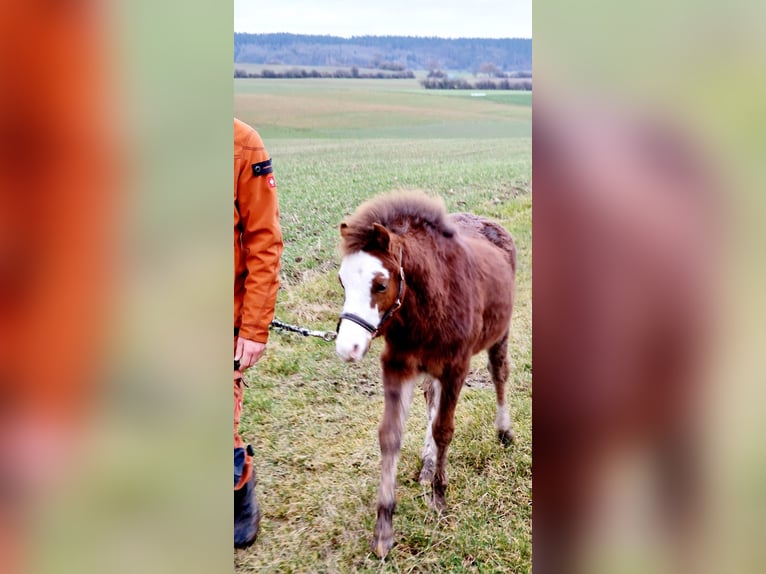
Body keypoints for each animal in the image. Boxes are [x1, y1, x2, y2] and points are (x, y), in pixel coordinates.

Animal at [334, 192, 516, 560]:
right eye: (342, 281)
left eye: (381, 284)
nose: (348, 347)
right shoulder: (398, 365)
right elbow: (390, 436)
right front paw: (384, 531)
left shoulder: (456, 367)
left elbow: (444, 430)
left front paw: (439, 500)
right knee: (432, 397)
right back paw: (428, 464)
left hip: (499, 333)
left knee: (499, 373)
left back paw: (504, 432)